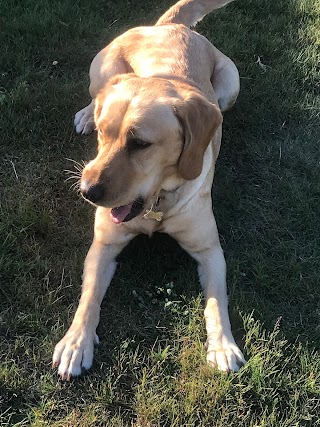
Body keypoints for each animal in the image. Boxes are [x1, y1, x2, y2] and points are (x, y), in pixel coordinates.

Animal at [53, 0, 246, 382]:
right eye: (104, 134)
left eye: (140, 144)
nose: (86, 191)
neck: (156, 206)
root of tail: (170, 26)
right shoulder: (104, 245)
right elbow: (88, 298)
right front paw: (75, 342)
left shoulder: (210, 251)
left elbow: (217, 302)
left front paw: (222, 345)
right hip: (103, 71)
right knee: (96, 95)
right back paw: (85, 113)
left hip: (231, 86)